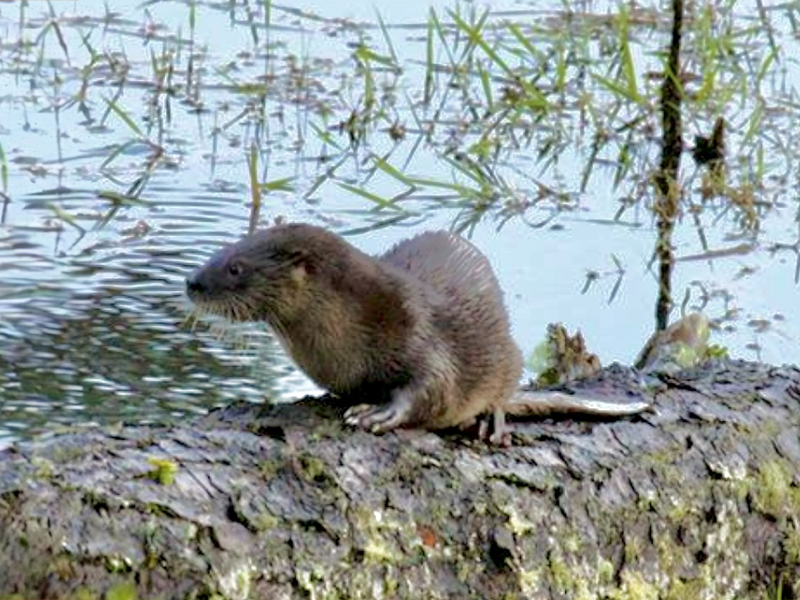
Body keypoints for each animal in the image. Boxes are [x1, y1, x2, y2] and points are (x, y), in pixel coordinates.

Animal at [185, 223, 521, 443]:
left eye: (235, 268)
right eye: (221, 251)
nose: (192, 282)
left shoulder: (419, 328)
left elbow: (434, 385)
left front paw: (379, 414)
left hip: (506, 351)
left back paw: (491, 421)